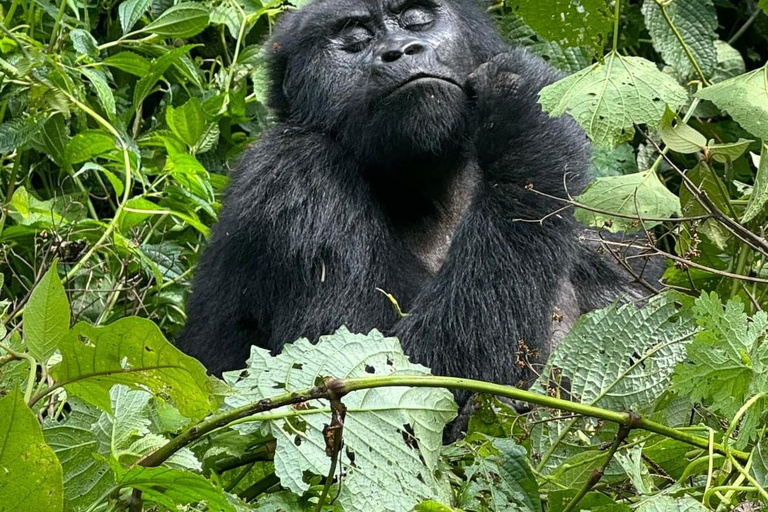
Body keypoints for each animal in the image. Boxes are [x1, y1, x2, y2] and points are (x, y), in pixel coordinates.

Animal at [176, 0, 656, 384]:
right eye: (354, 38)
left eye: (416, 18)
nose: (402, 50)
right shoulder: (290, 175)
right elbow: (393, 379)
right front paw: (527, 123)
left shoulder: (604, 227)